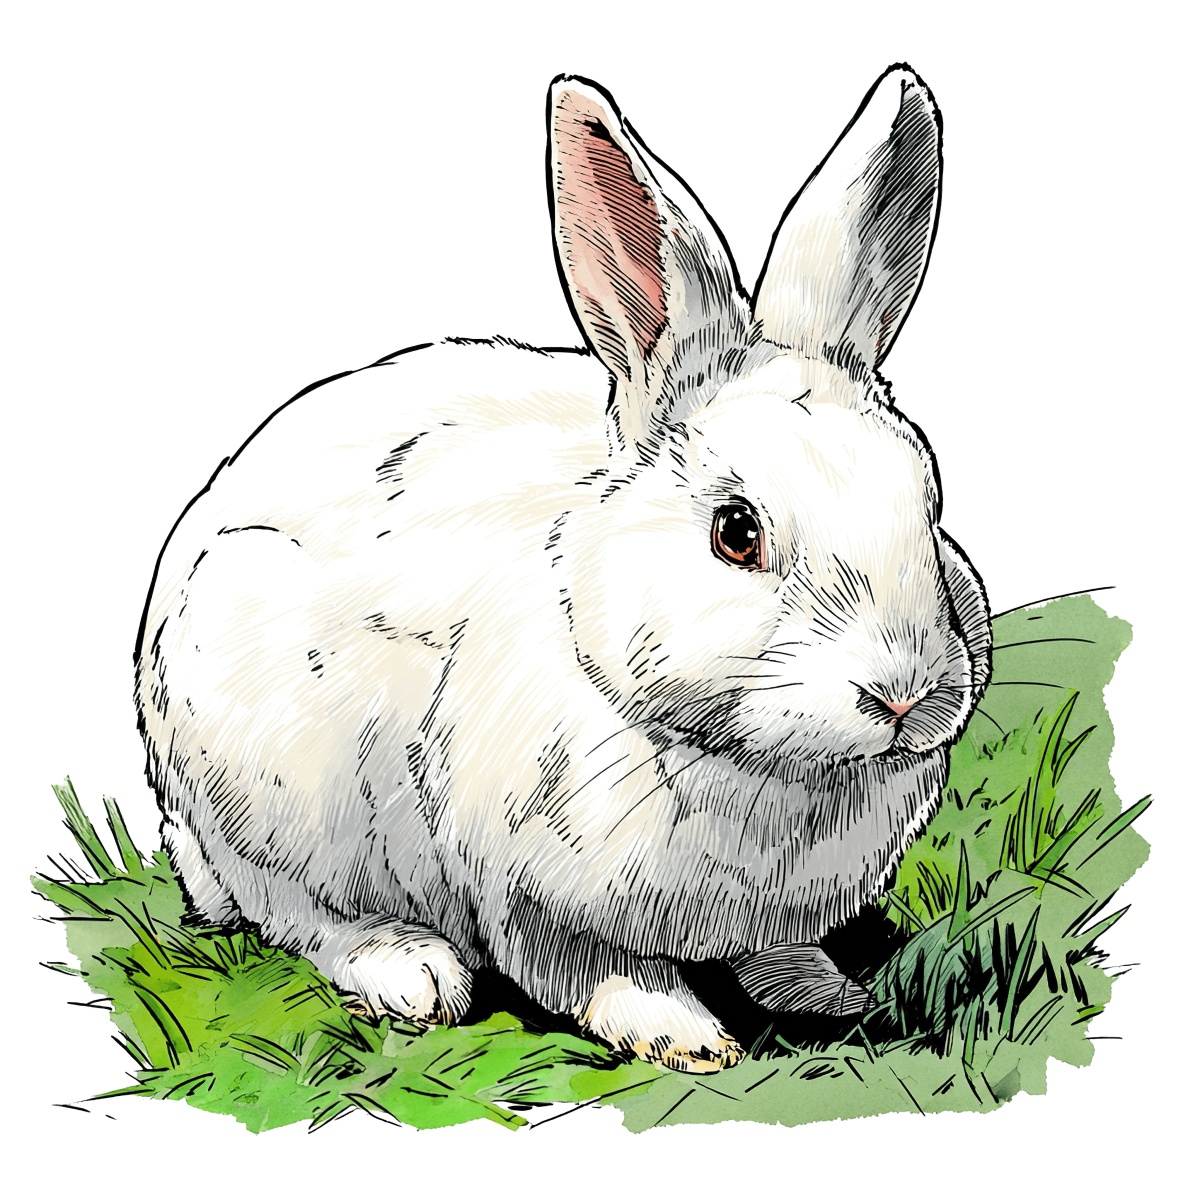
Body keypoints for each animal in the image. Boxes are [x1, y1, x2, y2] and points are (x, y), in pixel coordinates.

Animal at [134, 64, 991, 1075]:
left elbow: (773, 949)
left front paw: (828, 993)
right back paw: (409, 971)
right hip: (273, 783)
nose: (905, 693)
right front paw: (684, 1037)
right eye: (736, 533)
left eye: (930, 502)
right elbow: (591, 970)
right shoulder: (521, 885)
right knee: (295, 911)